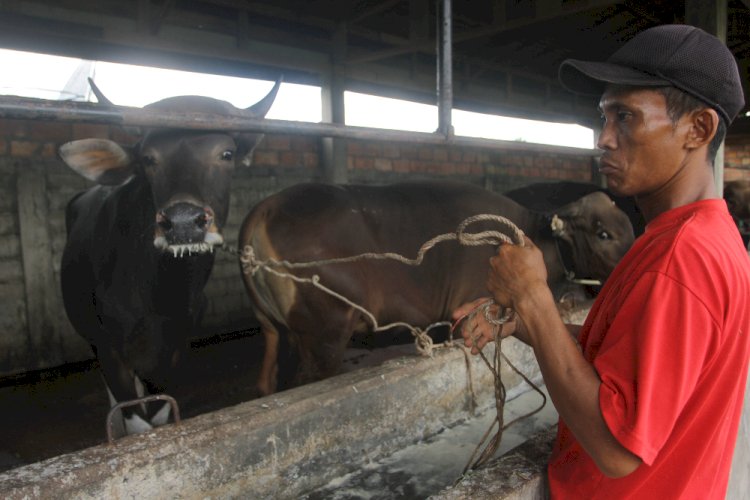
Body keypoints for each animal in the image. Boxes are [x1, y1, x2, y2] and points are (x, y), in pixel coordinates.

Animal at [59, 78, 282, 438]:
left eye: (227, 153)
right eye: (149, 158)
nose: (183, 222)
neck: (161, 295)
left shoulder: (177, 345)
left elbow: (162, 412)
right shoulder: (109, 348)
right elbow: (137, 421)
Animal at [236, 180, 636, 394]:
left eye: (628, 225)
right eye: (603, 233)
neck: (531, 237)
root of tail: (265, 210)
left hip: (276, 331)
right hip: (326, 333)